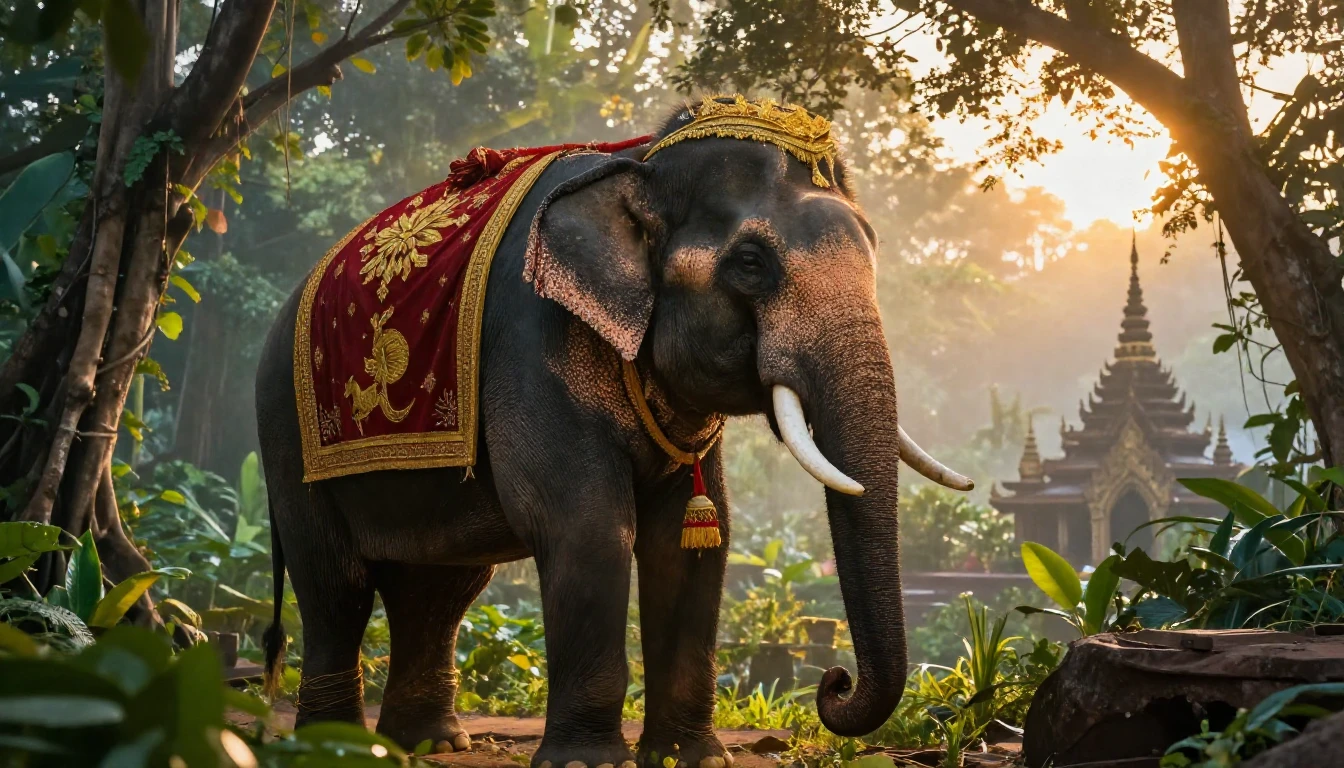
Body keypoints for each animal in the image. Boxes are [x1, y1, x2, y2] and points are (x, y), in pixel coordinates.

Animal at [254, 97, 972, 767]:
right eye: (750, 262)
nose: (834, 681)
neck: (645, 164)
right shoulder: (531, 342)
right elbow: (587, 526)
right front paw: (584, 761)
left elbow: (691, 537)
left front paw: (693, 756)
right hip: (286, 435)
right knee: (338, 582)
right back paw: (334, 745)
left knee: (442, 585)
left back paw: (430, 744)